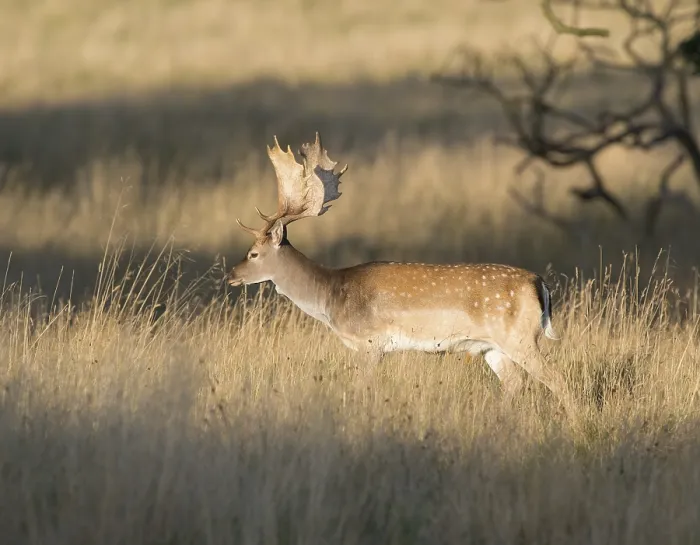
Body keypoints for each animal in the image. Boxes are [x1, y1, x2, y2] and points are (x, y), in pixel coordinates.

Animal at [227, 132, 569, 401]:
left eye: (253, 254)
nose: (231, 276)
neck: (331, 295)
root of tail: (539, 284)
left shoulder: (371, 343)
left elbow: (360, 388)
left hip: (520, 337)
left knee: (558, 380)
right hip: (492, 346)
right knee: (514, 383)